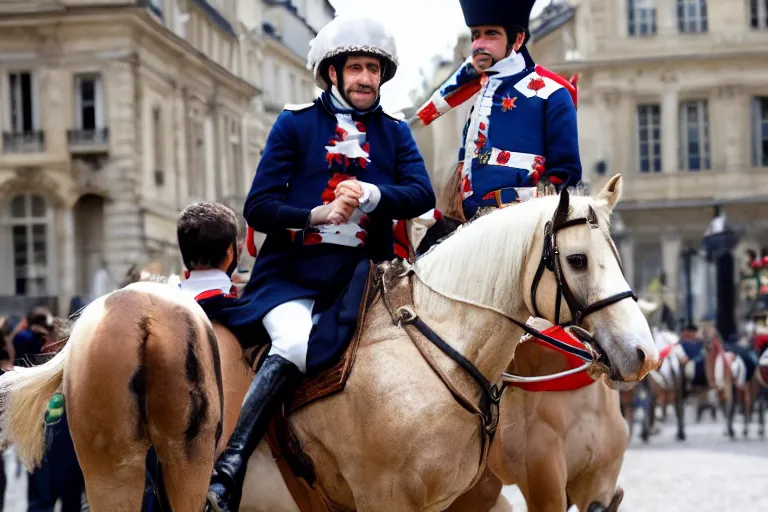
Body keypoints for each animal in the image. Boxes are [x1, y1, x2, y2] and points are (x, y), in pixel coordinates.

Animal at [3, 174, 656, 510]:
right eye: (577, 260)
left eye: (618, 254)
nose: (642, 354)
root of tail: (123, 311)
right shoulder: (388, 500)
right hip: (142, 470)